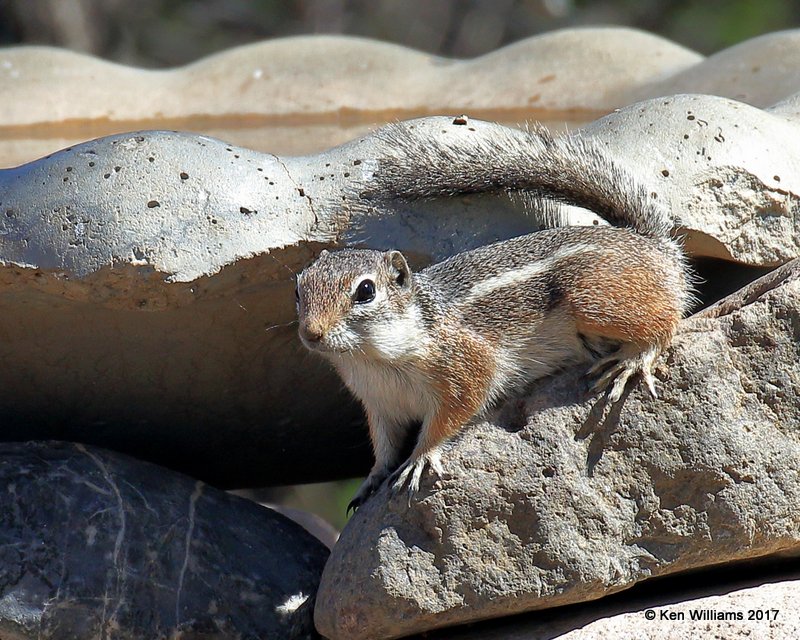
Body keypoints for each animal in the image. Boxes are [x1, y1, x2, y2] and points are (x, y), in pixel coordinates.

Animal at [296, 119, 692, 510]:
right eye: (299, 289)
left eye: (365, 291)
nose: (311, 333)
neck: (374, 358)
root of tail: (651, 244)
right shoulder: (381, 406)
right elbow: (384, 446)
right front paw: (373, 478)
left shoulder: (466, 367)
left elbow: (450, 416)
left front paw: (420, 457)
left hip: (594, 300)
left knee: (665, 321)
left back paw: (634, 359)